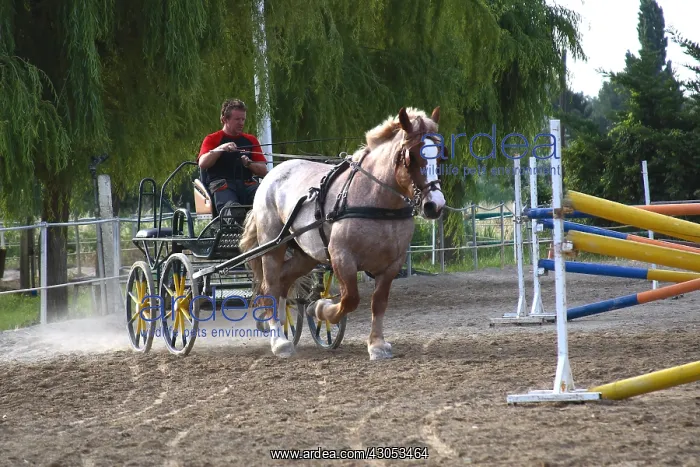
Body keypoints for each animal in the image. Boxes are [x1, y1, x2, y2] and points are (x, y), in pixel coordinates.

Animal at [238, 106, 445, 360]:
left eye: (440, 155)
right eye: (411, 156)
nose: (435, 205)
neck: (376, 199)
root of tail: (272, 173)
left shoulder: (392, 264)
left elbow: (379, 302)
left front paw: (377, 344)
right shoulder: (342, 257)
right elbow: (350, 300)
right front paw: (320, 308)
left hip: (305, 255)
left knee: (283, 282)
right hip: (273, 245)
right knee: (271, 286)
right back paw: (279, 340)